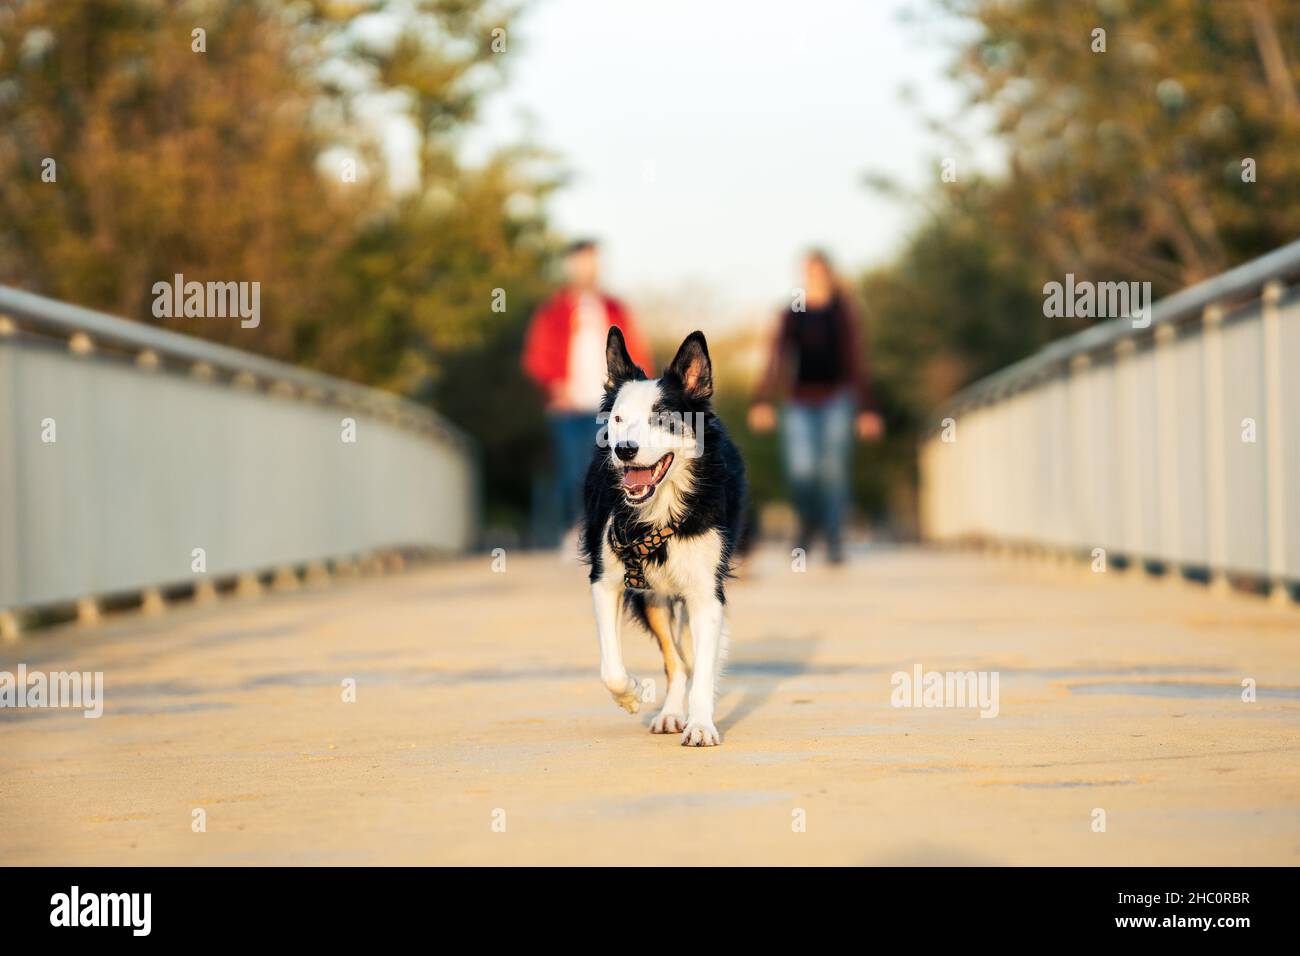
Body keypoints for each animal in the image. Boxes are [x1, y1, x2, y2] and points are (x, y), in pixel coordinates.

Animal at [582, 329, 748, 749]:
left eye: (662, 418)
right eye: (618, 418)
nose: (624, 450)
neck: (660, 508)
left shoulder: (706, 593)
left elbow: (702, 668)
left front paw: (701, 724)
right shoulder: (606, 580)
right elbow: (612, 668)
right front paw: (631, 694)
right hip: (653, 597)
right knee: (675, 660)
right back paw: (671, 712)